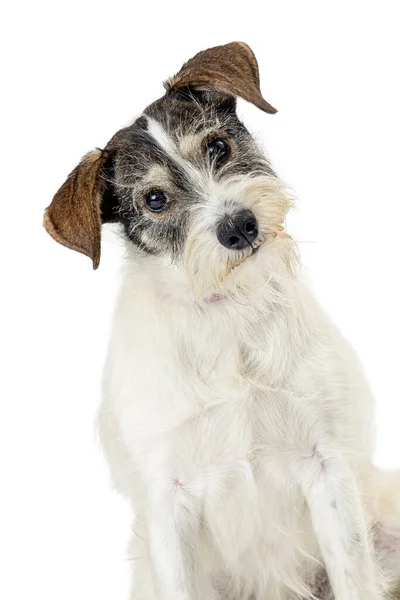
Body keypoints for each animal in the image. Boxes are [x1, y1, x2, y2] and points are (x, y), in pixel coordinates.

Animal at [43, 43, 400, 600]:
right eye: (155, 199)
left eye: (217, 147)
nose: (240, 226)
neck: (228, 312)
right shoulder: (170, 500)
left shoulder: (326, 464)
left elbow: (353, 576)